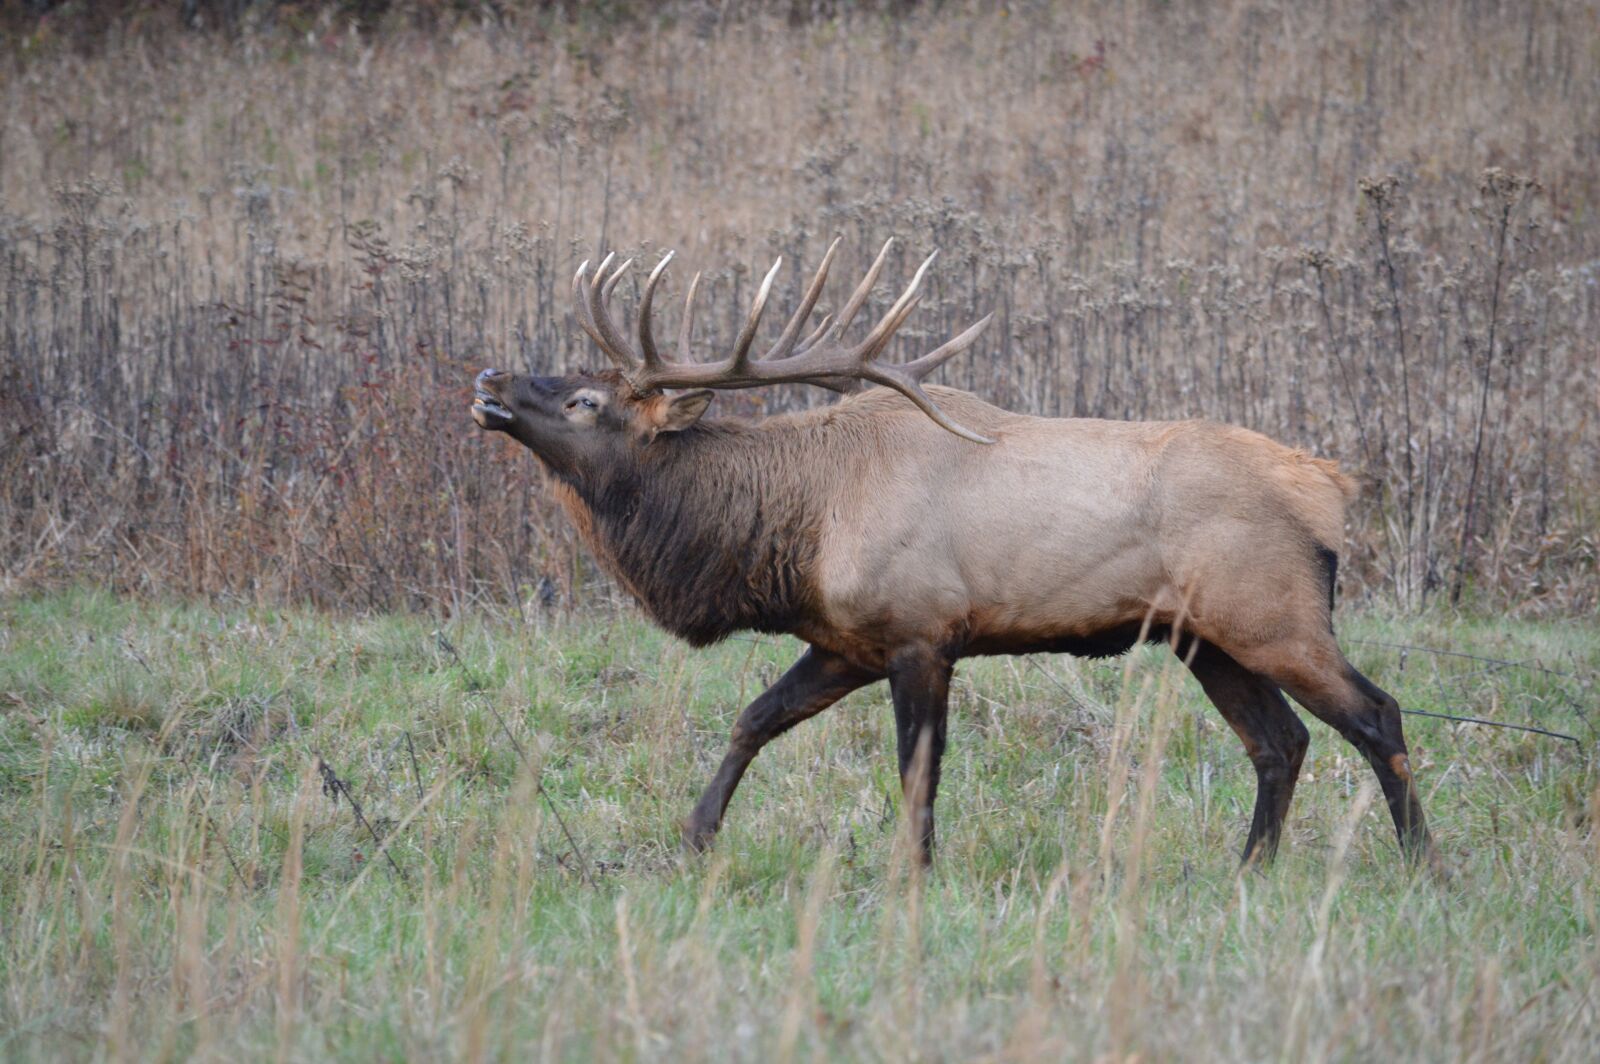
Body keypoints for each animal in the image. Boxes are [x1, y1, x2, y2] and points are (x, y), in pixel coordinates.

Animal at [470, 238, 1437, 869]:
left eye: (586, 399)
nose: (490, 380)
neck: (795, 530)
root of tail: (1333, 489)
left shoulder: (922, 630)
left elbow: (917, 767)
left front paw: (914, 871)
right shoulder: (846, 641)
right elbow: (755, 718)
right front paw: (696, 835)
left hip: (1273, 613)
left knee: (1376, 715)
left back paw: (1423, 862)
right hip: (1206, 637)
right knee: (1280, 741)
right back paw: (1251, 867)